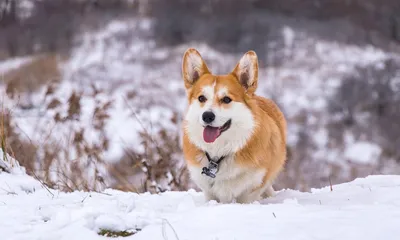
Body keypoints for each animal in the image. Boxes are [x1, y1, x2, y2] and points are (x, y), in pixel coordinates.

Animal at [181, 47, 288, 203]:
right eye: (201, 98)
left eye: (226, 99)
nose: (207, 116)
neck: (219, 154)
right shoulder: (209, 191)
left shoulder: (251, 189)